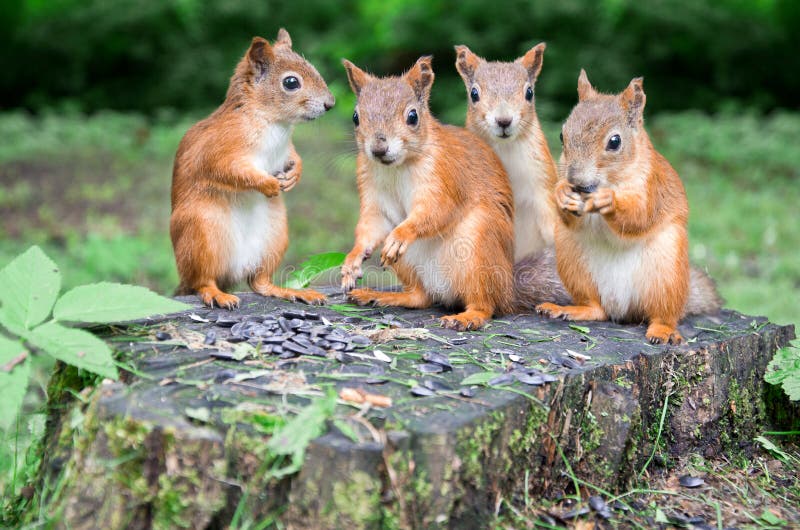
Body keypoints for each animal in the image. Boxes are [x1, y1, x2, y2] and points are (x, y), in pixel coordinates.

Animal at [170, 29, 335, 309]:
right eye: (291, 82)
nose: (330, 103)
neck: (274, 123)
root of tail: (233, 271)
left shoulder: (285, 149)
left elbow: (294, 157)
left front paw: (294, 175)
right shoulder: (217, 150)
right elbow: (229, 171)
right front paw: (268, 184)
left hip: (274, 238)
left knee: (259, 282)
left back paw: (288, 291)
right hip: (202, 234)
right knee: (202, 280)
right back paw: (216, 293)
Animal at [339, 56, 517, 331]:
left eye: (413, 116)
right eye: (356, 117)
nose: (378, 149)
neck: (398, 166)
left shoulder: (444, 177)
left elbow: (437, 211)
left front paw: (401, 235)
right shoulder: (372, 190)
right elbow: (374, 225)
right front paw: (353, 259)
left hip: (478, 249)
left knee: (486, 304)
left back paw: (467, 317)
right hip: (408, 263)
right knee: (420, 297)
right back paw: (379, 296)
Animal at [536, 70, 722, 344]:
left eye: (615, 142)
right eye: (562, 135)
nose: (575, 181)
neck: (607, 182)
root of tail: (621, 308)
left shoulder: (651, 186)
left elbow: (640, 216)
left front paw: (609, 200)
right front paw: (561, 194)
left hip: (666, 272)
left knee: (663, 313)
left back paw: (663, 331)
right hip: (573, 261)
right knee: (596, 308)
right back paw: (569, 309)